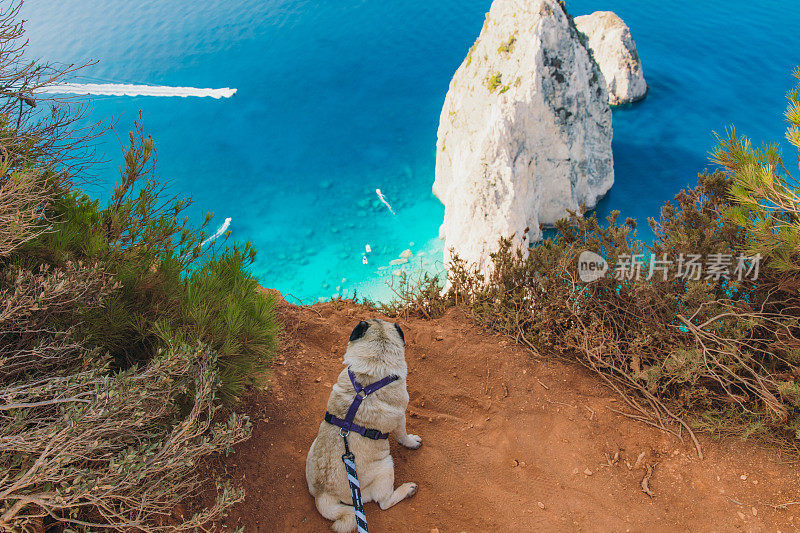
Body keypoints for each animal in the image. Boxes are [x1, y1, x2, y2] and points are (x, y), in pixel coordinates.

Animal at [304, 318, 422, 528]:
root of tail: (323, 494)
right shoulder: (400, 417)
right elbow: (402, 435)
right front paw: (411, 441)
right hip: (385, 467)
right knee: (384, 502)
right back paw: (407, 489)